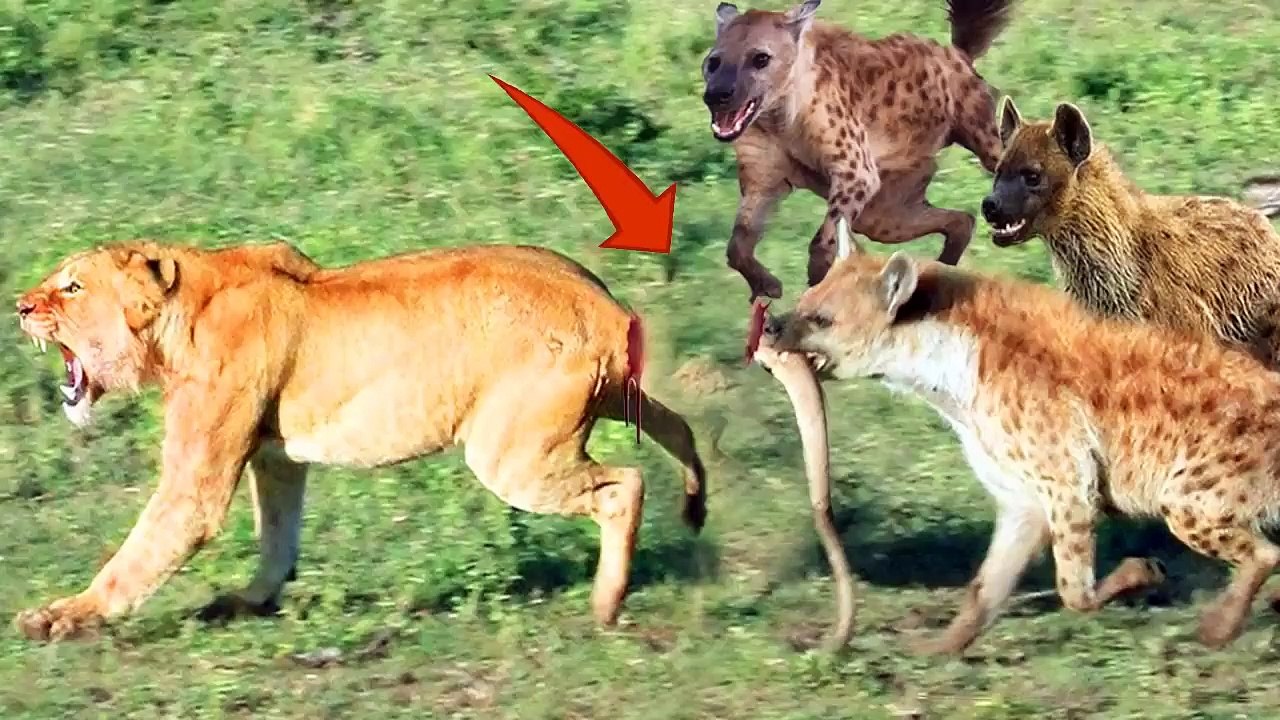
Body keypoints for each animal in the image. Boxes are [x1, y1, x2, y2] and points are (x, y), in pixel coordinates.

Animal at [13, 239, 708, 641]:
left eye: (72, 286)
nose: (19, 306)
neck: (181, 314)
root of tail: (603, 305)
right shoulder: (276, 458)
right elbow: (277, 536)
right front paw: (249, 601)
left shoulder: (197, 481)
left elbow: (139, 554)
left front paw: (59, 616)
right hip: (603, 403)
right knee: (679, 425)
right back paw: (695, 506)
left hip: (511, 456)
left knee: (625, 484)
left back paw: (606, 603)